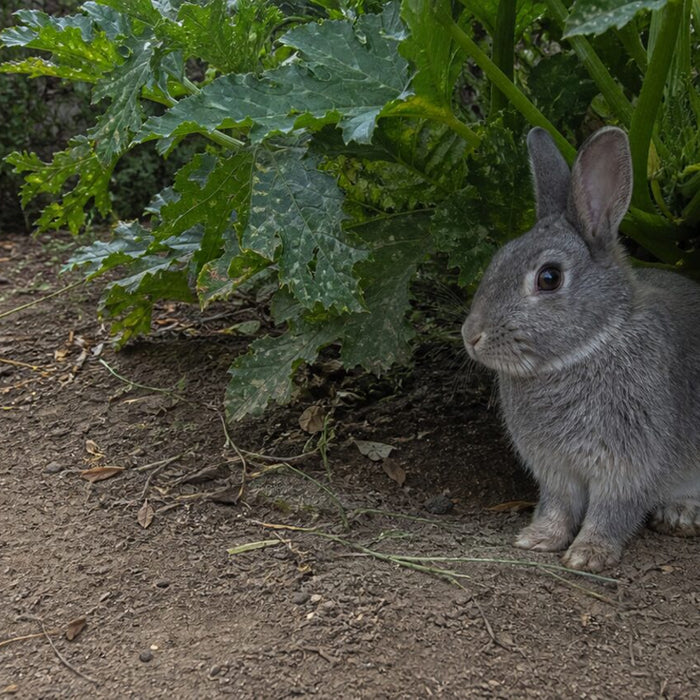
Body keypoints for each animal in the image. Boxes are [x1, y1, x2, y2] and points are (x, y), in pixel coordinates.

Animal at [461, 126, 700, 572]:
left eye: (549, 278)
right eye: (498, 259)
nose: (471, 336)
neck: (586, 349)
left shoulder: (627, 467)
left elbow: (611, 512)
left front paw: (588, 555)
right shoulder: (555, 470)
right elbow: (558, 505)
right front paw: (538, 539)